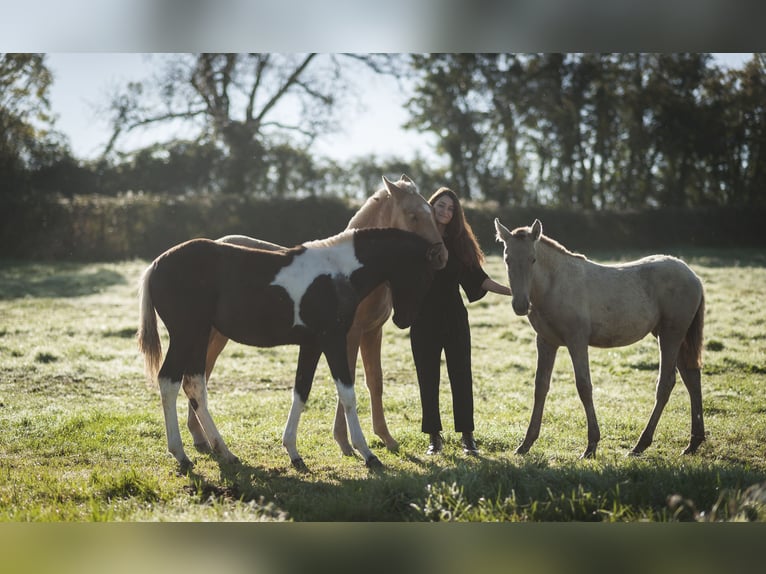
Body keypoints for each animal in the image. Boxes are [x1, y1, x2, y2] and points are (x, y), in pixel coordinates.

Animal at [136, 228, 438, 472]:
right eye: (425, 273)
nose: (403, 320)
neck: (338, 271)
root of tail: (156, 264)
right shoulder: (333, 340)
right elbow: (347, 394)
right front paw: (368, 454)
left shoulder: (312, 344)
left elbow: (301, 392)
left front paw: (293, 453)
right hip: (186, 335)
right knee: (169, 382)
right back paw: (181, 455)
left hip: (198, 337)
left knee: (194, 385)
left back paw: (225, 452)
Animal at [188, 173, 448, 456]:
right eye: (413, 216)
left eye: (432, 211)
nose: (441, 255)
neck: (350, 270)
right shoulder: (347, 335)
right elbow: (347, 381)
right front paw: (345, 441)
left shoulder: (372, 332)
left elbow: (374, 381)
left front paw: (385, 437)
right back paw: (203, 439)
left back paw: (201, 438)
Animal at [496, 218, 704, 462]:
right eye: (507, 259)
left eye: (533, 259)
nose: (520, 305)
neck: (555, 283)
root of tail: (693, 275)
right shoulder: (546, 342)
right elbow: (540, 386)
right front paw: (526, 443)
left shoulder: (577, 340)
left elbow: (584, 386)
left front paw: (591, 445)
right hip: (675, 337)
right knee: (692, 378)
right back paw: (693, 443)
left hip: (671, 335)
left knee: (666, 383)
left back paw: (640, 445)